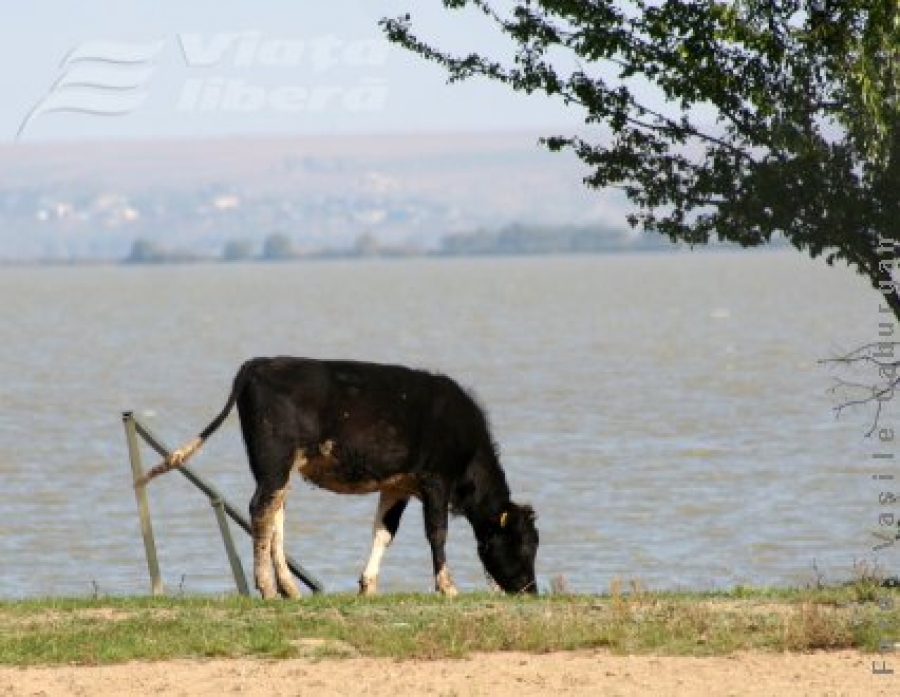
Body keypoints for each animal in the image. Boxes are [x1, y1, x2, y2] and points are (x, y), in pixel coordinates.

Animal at [137, 356, 536, 596]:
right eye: (523, 544)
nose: (530, 590)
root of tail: (260, 363)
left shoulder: (397, 485)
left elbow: (384, 532)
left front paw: (368, 586)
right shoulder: (436, 479)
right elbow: (437, 532)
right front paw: (447, 587)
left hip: (280, 469)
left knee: (274, 514)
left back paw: (289, 589)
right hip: (274, 460)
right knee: (260, 511)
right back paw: (267, 588)